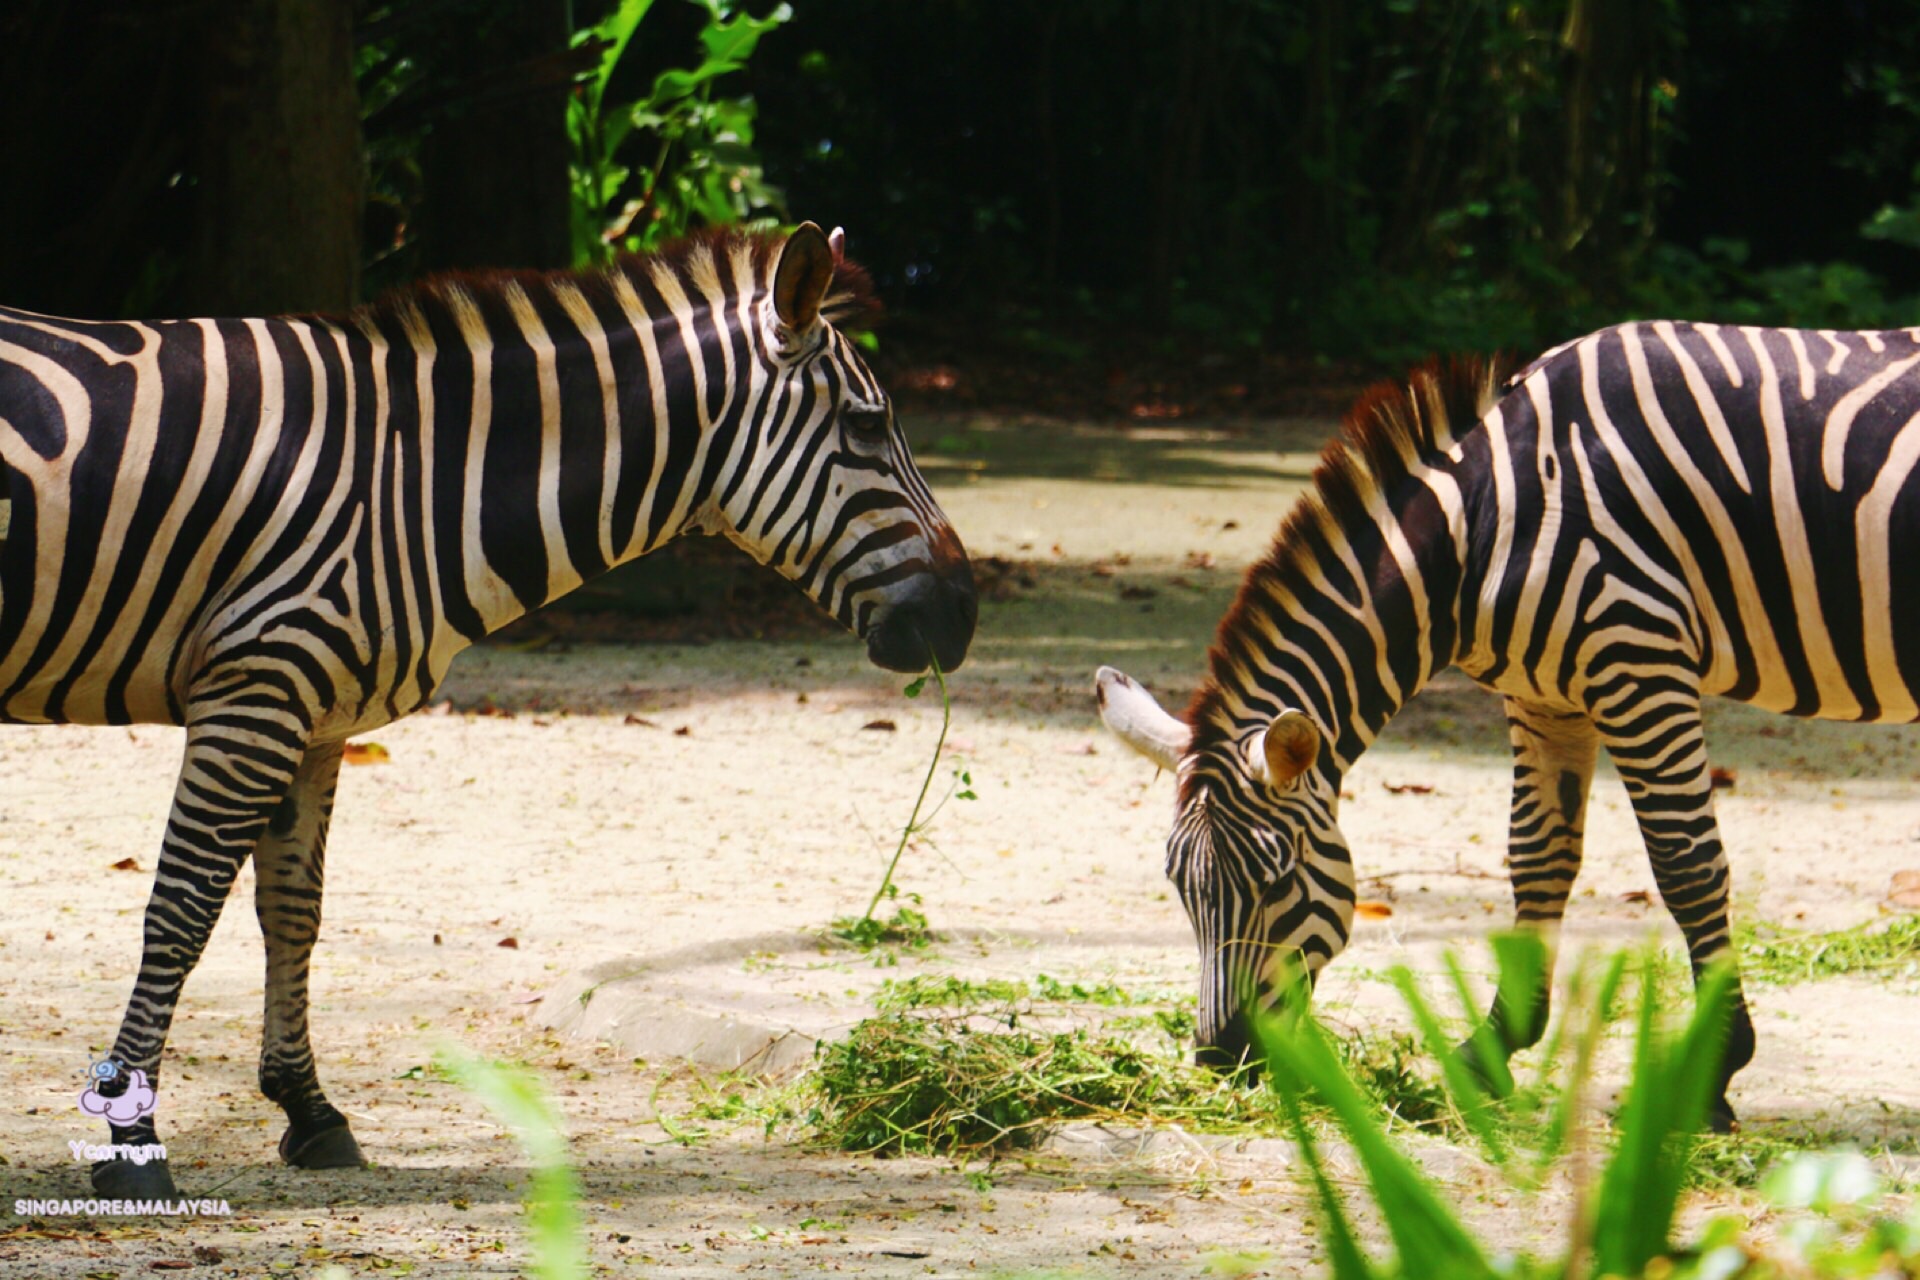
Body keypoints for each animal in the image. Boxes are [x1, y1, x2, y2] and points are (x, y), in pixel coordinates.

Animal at [7, 222, 975, 1205]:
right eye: (868, 426)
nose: (964, 617)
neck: (411, 478)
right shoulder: (258, 686)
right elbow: (181, 912)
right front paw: (133, 1137)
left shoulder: (313, 711)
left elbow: (292, 909)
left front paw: (310, 1111)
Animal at [1105, 326, 1920, 1136]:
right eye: (1179, 885)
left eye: (1275, 881)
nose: (1220, 1057)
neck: (1483, 530)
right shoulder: (1546, 695)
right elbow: (1538, 857)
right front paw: (1492, 1051)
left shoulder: (1638, 657)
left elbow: (1686, 866)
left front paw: (1714, 1070)